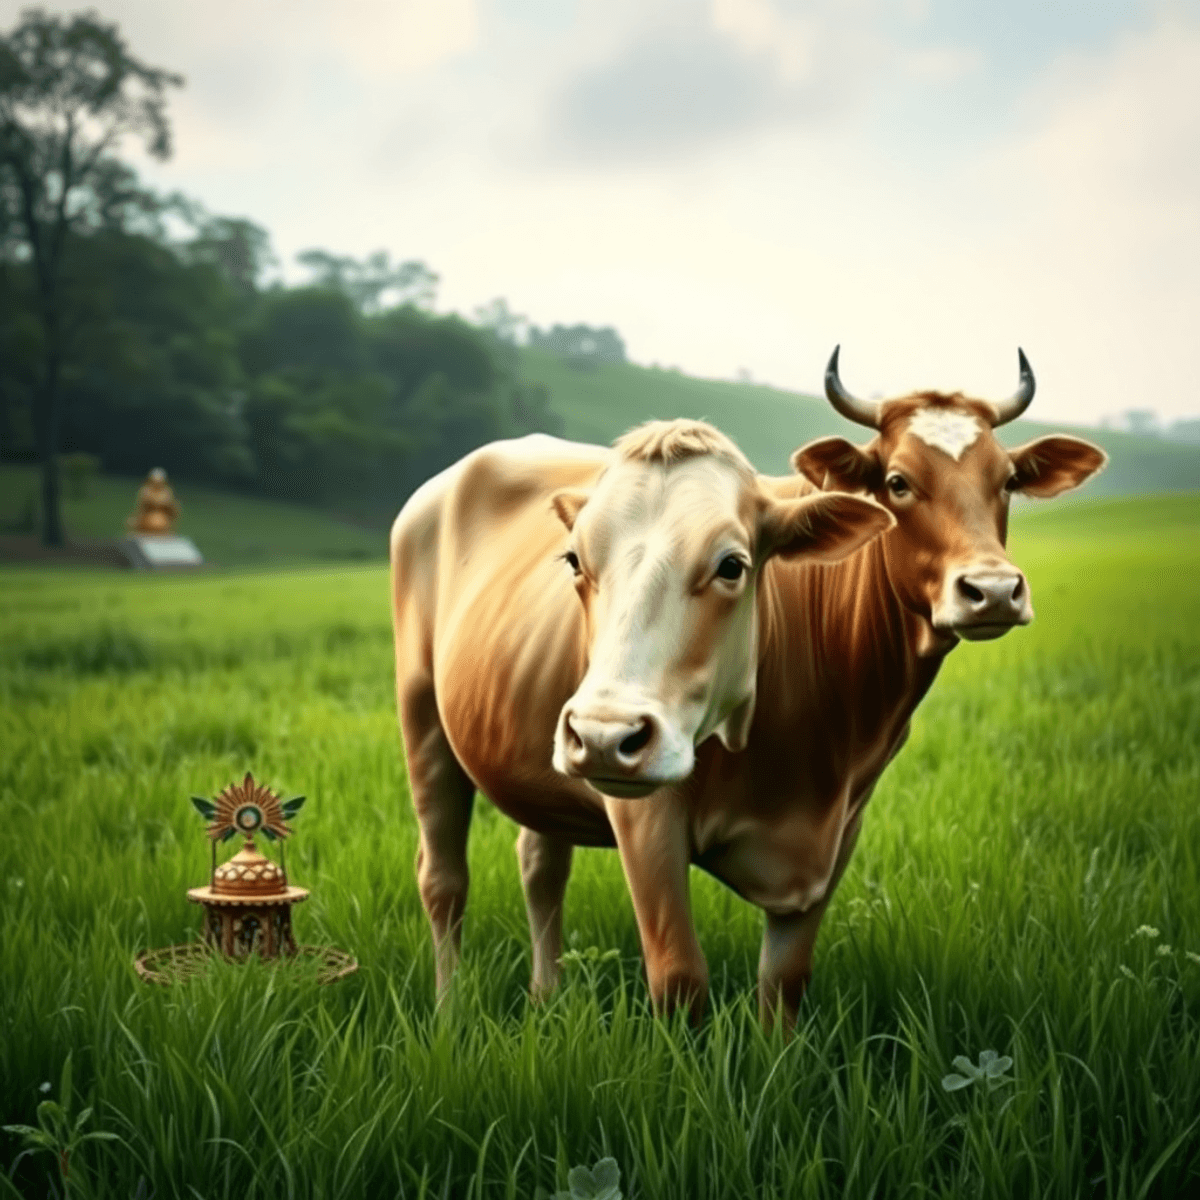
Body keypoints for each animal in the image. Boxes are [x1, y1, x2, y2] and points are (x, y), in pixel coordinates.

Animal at [390, 421, 894, 1013]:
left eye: (731, 566)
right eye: (574, 561)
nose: (602, 737)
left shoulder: (841, 826)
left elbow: (784, 981)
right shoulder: (644, 818)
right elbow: (679, 978)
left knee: (541, 864)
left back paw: (546, 995)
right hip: (421, 711)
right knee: (443, 879)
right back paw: (450, 1008)